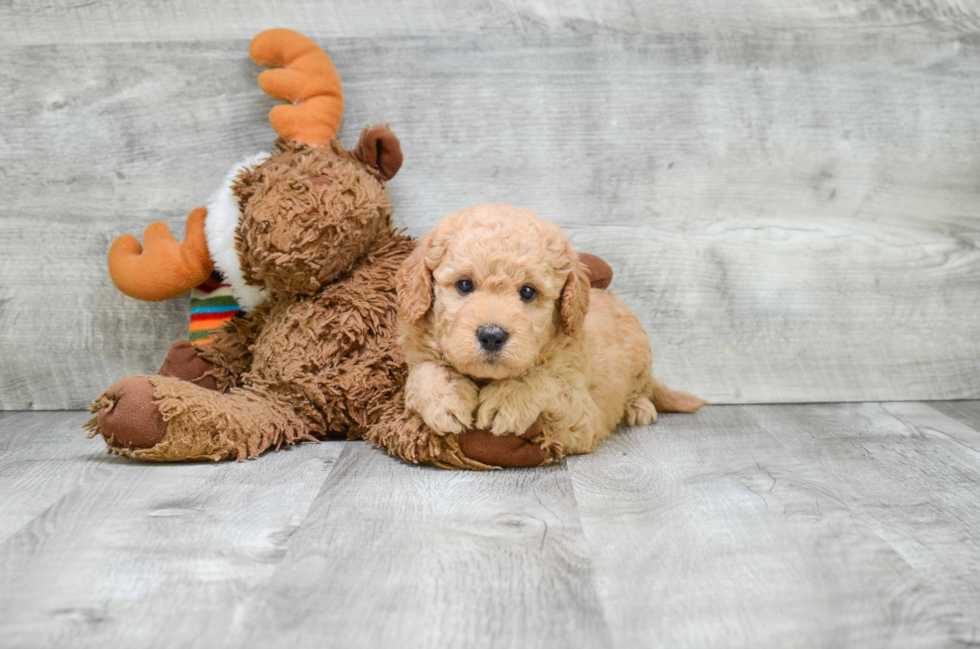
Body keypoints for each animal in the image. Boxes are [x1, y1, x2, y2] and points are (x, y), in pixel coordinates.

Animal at [394, 202, 708, 456]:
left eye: (528, 291)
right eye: (464, 284)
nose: (492, 336)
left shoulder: (584, 417)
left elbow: (547, 382)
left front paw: (506, 400)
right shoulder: (417, 353)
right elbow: (426, 370)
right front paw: (446, 399)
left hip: (641, 353)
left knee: (643, 388)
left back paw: (639, 407)